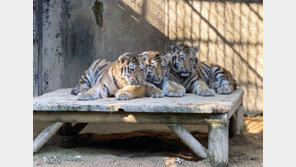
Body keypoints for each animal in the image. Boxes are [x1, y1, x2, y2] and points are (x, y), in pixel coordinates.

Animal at [70, 43, 237, 100]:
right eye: (182, 58)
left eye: (191, 59)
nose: (188, 68)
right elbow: (94, 89)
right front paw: (85, 95)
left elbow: (201, 85)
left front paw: (206, 91)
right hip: (91, 68)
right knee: (82, 83)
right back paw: (79, 90)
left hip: (218, 70)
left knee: (230, 83)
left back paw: (219, 87)